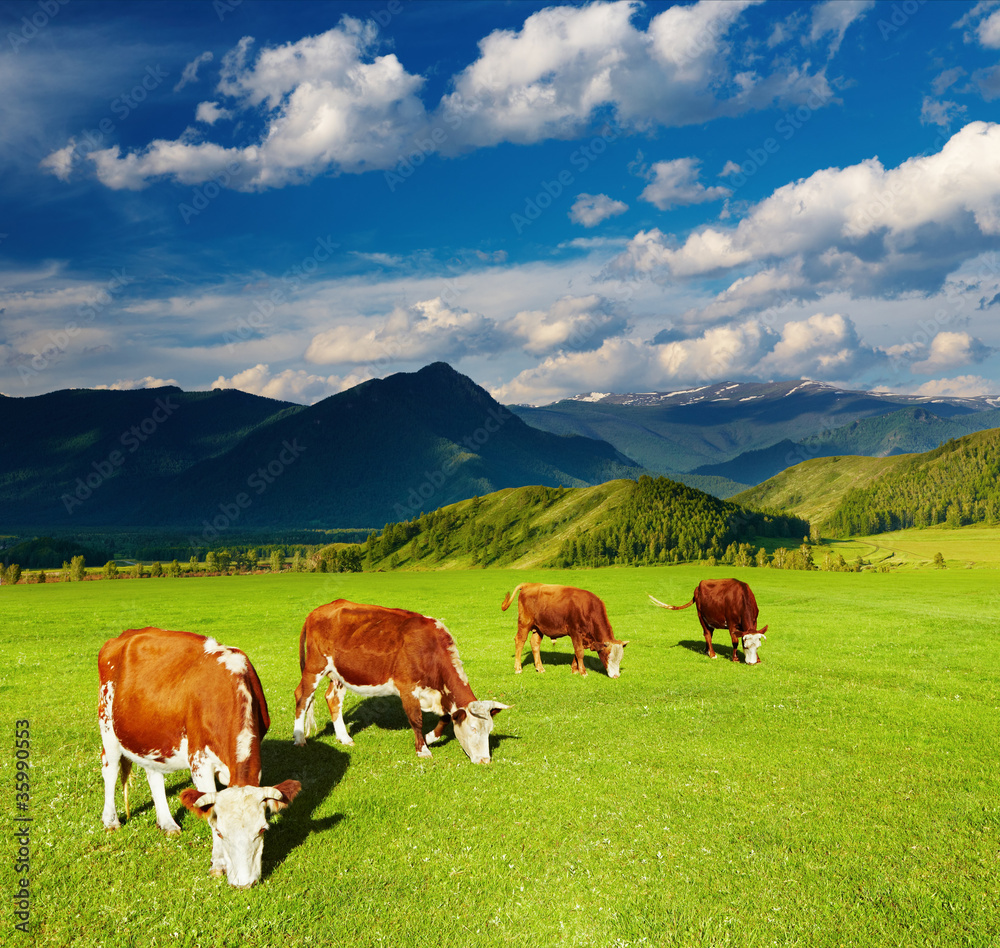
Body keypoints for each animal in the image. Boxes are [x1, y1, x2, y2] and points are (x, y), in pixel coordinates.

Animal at [97, 628, 300, 888]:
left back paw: (167, 823)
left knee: (154, 775)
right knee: (110, 768)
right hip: (107, 724)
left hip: (151, 734)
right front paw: (218, 865)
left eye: (263, 830)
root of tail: (125, 635)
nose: (244, 883)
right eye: (221, 832)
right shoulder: (199, 762)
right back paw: (111, 820)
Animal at [290, 604, 508, 768]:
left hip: (339, 674)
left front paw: (430, 737)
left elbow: (446, 718)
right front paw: (423, 750)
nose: (485, 761)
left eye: (489, 730)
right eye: (473, 728)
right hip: (314, 667)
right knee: (302, 697)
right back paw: (299, 739)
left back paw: (344, 737)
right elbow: (416, 719)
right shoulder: (407, 687)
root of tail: (317, 611)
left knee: (333, 699)